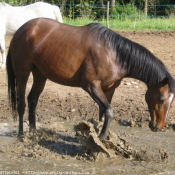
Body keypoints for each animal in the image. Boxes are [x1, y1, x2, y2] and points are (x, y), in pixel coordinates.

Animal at [5, 18, 175, 140]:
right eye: (161, 99)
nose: (158, 126)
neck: (114, 54)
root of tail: (21, 30)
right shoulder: (91, 85)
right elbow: (109, 111)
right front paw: (102, 137)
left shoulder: (109, 89)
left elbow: (103, 113)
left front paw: (102, 137)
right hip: (22, 72)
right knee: (21, 104)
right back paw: (21, 134)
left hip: (40, 75)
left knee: (33, 100)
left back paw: (34, 132)